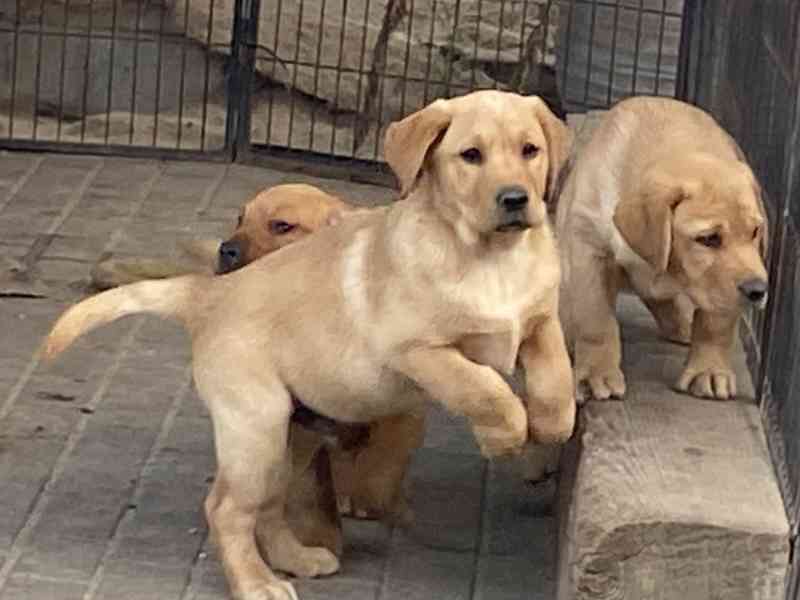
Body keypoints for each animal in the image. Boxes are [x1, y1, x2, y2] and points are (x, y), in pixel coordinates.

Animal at [556, 96, 768, 400]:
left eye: (754, 232)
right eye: (708, 239)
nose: (757, 290)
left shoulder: (721, 288)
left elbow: (715, 324)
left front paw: (709, 371)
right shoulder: (589, 246)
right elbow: (595, 317)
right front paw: (596, 374)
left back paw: (682, 326)